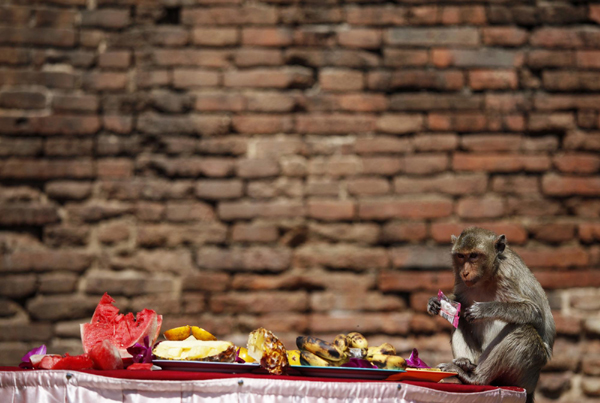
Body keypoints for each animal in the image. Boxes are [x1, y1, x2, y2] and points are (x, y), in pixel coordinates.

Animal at [428, 227, 556, 403]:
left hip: (528, 373)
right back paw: (466, 364)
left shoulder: (508, 275)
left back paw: (474, 378)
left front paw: (484, 309)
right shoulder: (459, 279)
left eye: (474, 256)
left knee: (524, 332)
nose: (465, 272)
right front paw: (436, 302)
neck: (486, 277)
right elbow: (460, 304)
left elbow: (534, 311)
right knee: (461, 322)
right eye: (461, 256)